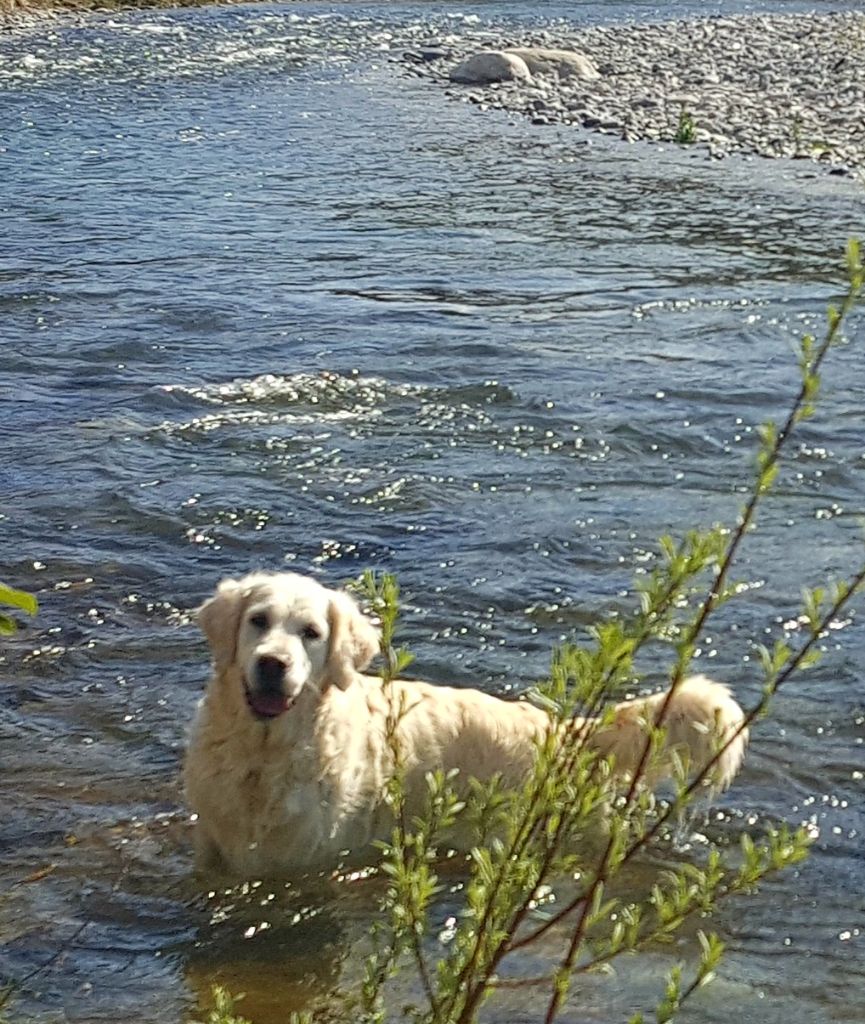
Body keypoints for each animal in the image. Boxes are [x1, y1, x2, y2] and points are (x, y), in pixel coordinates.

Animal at [185, 573, 745, 876]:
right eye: (258, 620)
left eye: (311, 633)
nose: (273, 664)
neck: (262, 756)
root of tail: (565, 730)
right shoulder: (215, 847)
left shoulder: (306, 852)